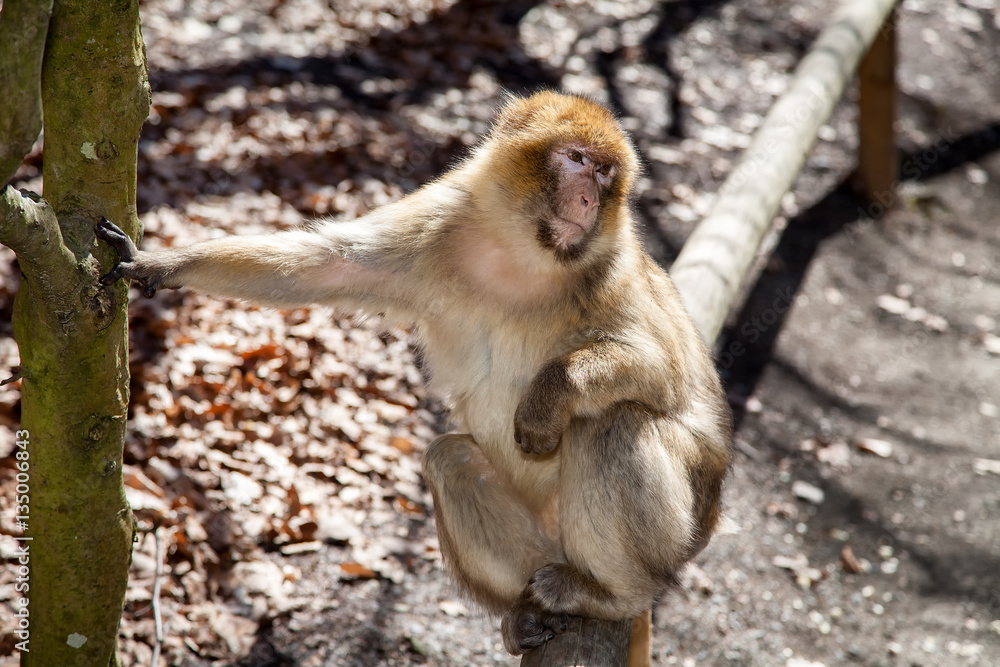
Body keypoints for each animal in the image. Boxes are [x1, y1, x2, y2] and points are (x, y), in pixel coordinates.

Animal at [96, 90, 733, 655]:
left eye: (604, 172)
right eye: (576, 160)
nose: (587, 202)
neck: (524, 256)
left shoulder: (613, 268)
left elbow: (665, 375)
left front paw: (551, 394)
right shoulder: (443, 219)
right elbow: (328, 266)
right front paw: (165, 264)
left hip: (676, 536)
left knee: (611, 426)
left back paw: (612, 595)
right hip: (546, 528)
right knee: (453, 461)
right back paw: (525, 610)